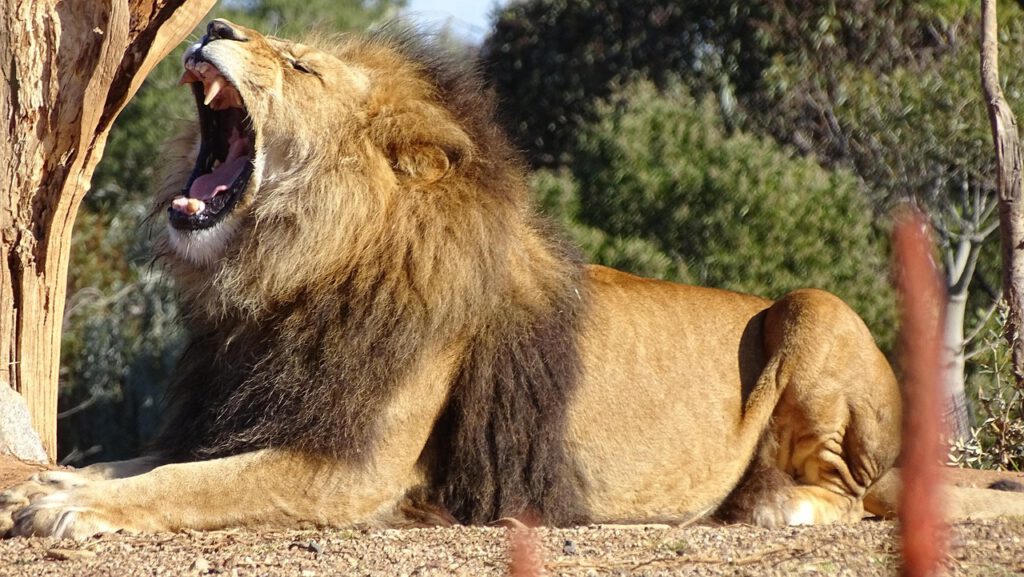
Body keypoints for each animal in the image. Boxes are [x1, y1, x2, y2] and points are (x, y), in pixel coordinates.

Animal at [2, 19, 1020, 539]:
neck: (288, 276)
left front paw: (75, 505)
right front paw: (46, 482)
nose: (214, 21)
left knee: (850, 493)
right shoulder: (246, 413)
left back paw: (770, 502)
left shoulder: (351, 467)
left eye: (297, 62)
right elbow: (144, 458)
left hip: (813, 309)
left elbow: (190, 485)